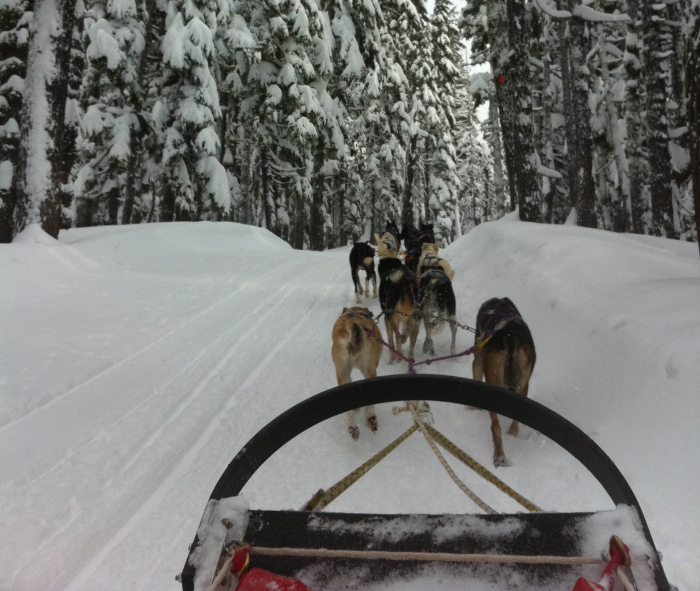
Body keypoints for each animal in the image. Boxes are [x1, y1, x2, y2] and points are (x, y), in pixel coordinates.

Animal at [474, 298, 540, 470]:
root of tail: (511, 337)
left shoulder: (477, 361)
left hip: (493, 381)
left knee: (495, 426)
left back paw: (499, 456)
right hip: (523, 383)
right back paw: (512, 434)